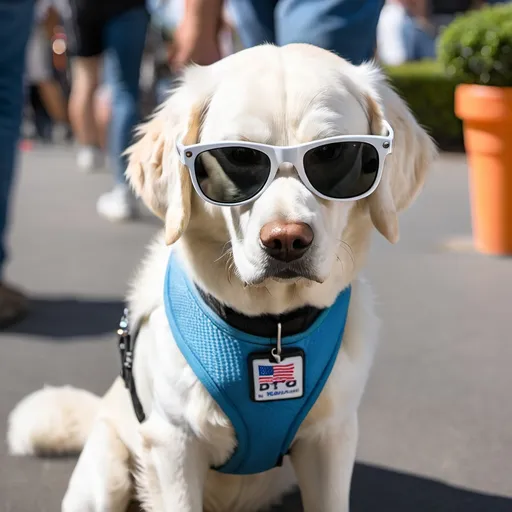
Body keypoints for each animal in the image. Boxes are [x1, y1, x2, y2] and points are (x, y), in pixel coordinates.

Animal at [6, 45, 434, 512]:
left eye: (335, 154)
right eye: (240, 157)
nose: (286, 240)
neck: (272, 328)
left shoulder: (331, 437)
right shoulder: (173, 446)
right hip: (107, 473)